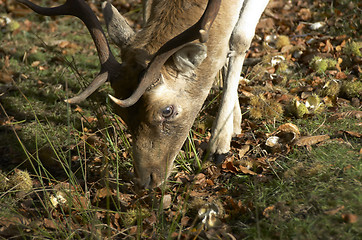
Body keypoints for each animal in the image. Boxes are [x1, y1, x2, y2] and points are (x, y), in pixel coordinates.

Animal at [17, 0, 268, 189]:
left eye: (167, 110)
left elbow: (238, 38)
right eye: (120, 112)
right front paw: (234, 122)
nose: (147, 179)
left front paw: (219, 144)